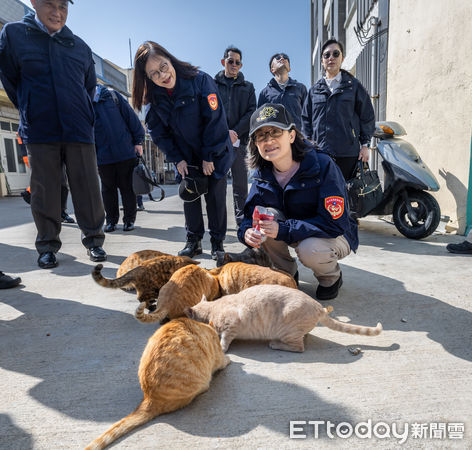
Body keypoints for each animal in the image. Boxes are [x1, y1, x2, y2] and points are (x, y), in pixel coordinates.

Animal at [186, 284, 382, 356]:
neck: (213, 309)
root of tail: (318, 307)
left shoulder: (231, 325)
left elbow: (225, 338)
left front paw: (222, 348)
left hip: (287, 331)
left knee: (299, 348)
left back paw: (276, 344)